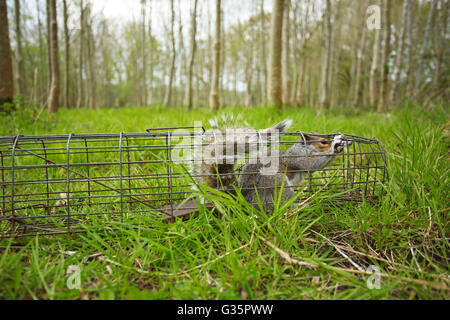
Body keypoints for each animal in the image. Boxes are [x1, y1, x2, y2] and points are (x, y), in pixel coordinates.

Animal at [192, 119, 350, 211]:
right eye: (323, 142)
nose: (338, 141)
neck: (305, 148)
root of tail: (243, 200)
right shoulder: (296, 157)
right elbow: (312, 165)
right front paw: (336, 145)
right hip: (277, 183)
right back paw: (299, 206)